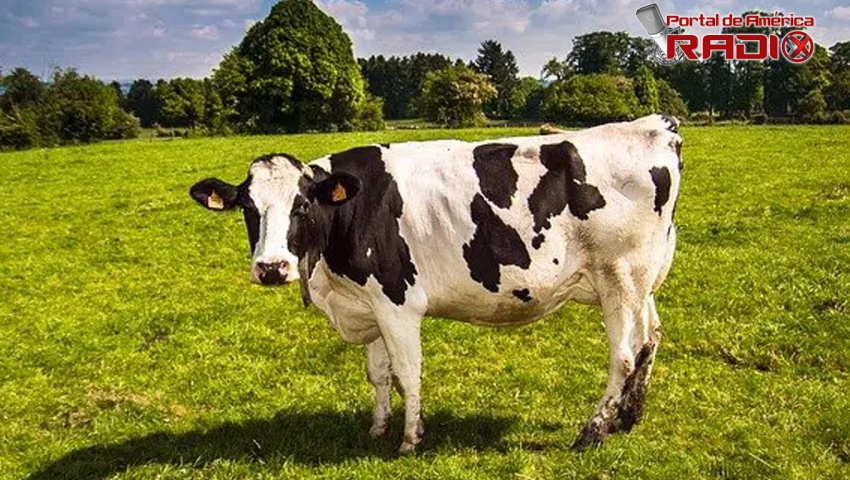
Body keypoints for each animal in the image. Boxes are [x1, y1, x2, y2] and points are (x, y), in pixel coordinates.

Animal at [189, 115, 682, 454]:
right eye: (248, 208)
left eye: (303, 205)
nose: (272, 267)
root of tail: (656, 125)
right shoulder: (369, 303)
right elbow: (378, 373)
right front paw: (378, 427)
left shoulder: (397, 302)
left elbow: (407, 372)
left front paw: (410, 439)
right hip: (641, 281)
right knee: (650, 339)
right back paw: (628, 417)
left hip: (619, 277)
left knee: (623, 357)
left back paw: (593, 432)